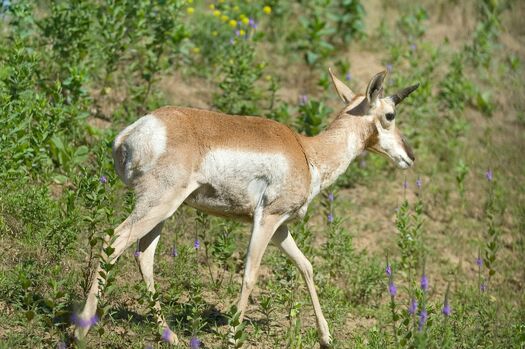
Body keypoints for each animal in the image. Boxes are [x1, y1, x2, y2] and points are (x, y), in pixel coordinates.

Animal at [74, 67, 418, 346]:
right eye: (390, 115)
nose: (410, 157)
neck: (306, 152)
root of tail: (131, 133)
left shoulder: (281, 229)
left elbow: (306, 266)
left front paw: (326, 337)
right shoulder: (266, 219)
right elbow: (251, 273)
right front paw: (232, 335)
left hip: (161, 212)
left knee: (143, 255)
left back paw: (168, 334)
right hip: (157, 205)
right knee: (114, 240)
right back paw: (81, 328)